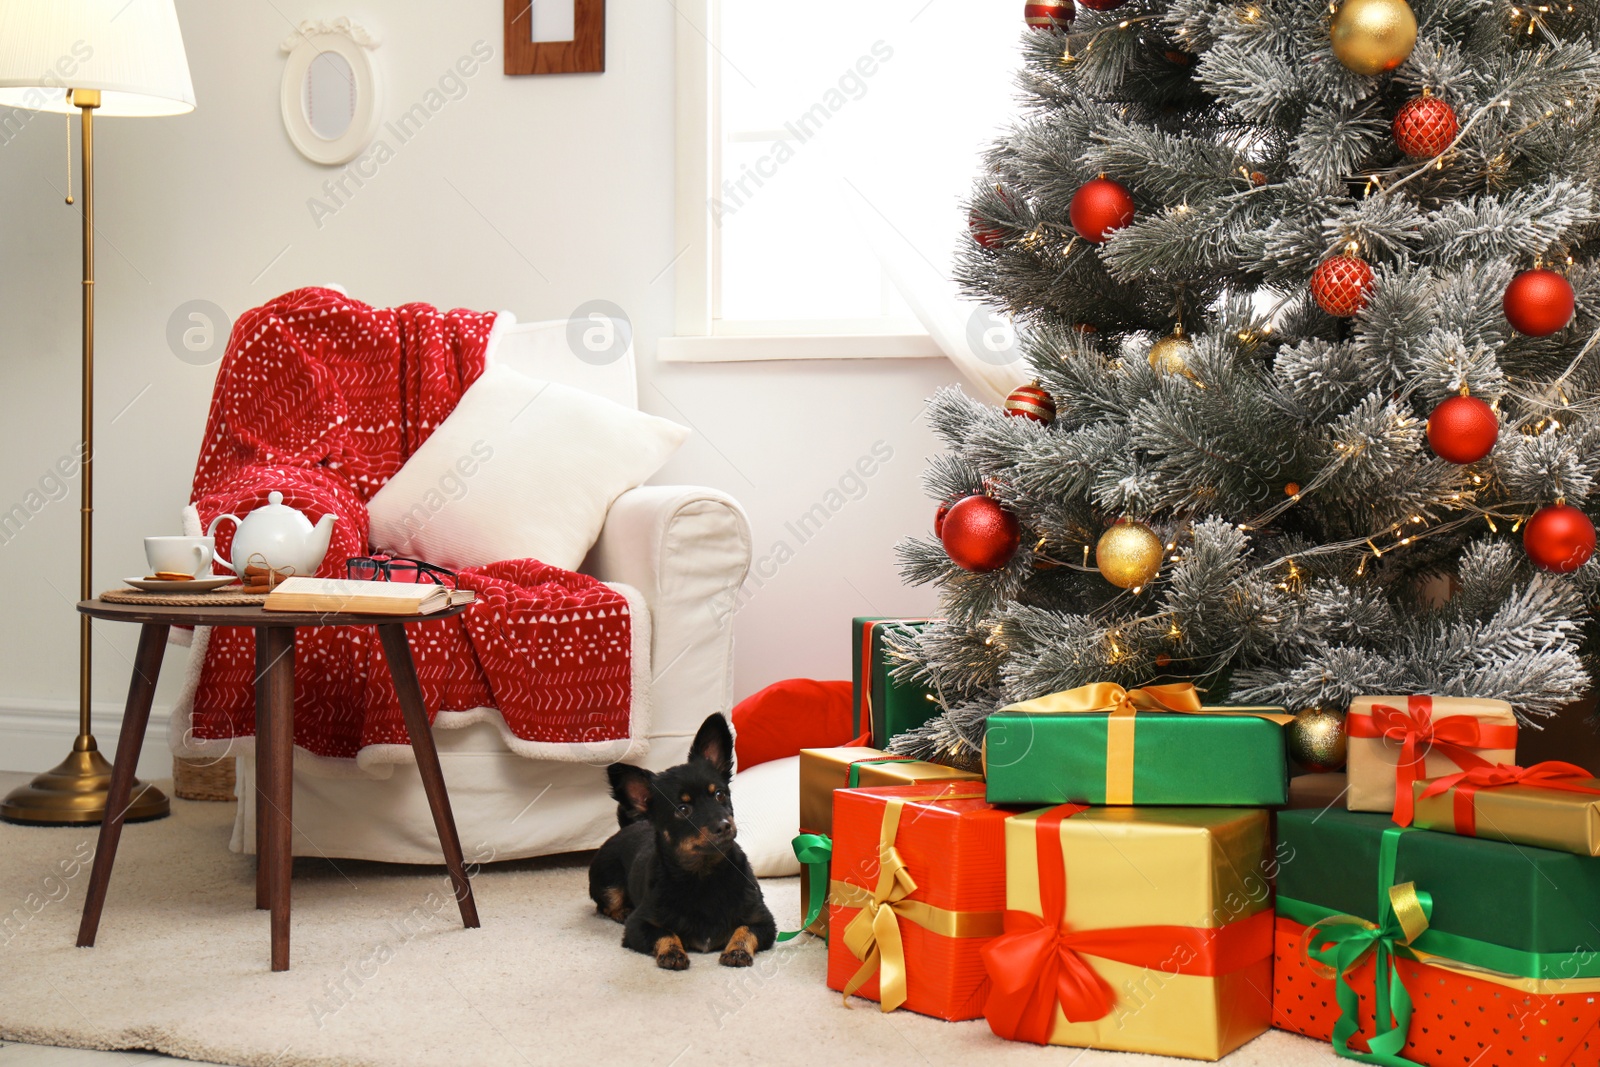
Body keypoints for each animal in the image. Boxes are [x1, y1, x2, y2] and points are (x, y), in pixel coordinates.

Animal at [595, 713, 780, 972]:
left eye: (720, 794)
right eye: (682, 810)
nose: (724, 825)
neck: (704, 876)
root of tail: (628, 826)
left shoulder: (764, 921)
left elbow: (744, 930)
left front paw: (736, 951)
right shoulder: (638, 927)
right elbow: (665, 933)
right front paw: (673, 952)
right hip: (608, 885)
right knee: (605, 905)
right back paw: (621, 910)